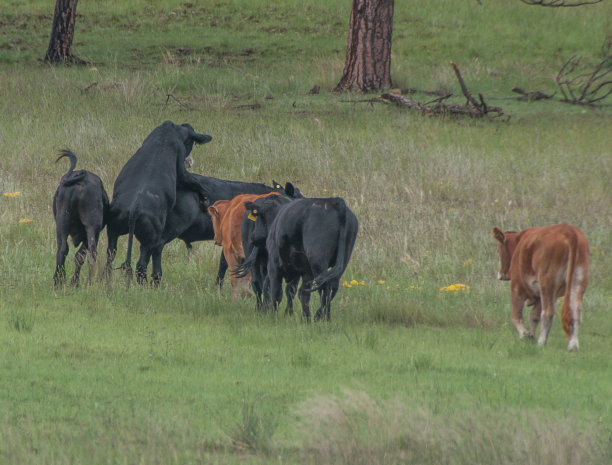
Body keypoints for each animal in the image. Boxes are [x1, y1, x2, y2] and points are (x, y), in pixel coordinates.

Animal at [105, 119, 210, 284]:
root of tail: (135, 208)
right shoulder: (181, 170)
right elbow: (195, 182)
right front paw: (205, 198)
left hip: (113, 230)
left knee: (110, 257)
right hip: (150, 240)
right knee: (141, 265)